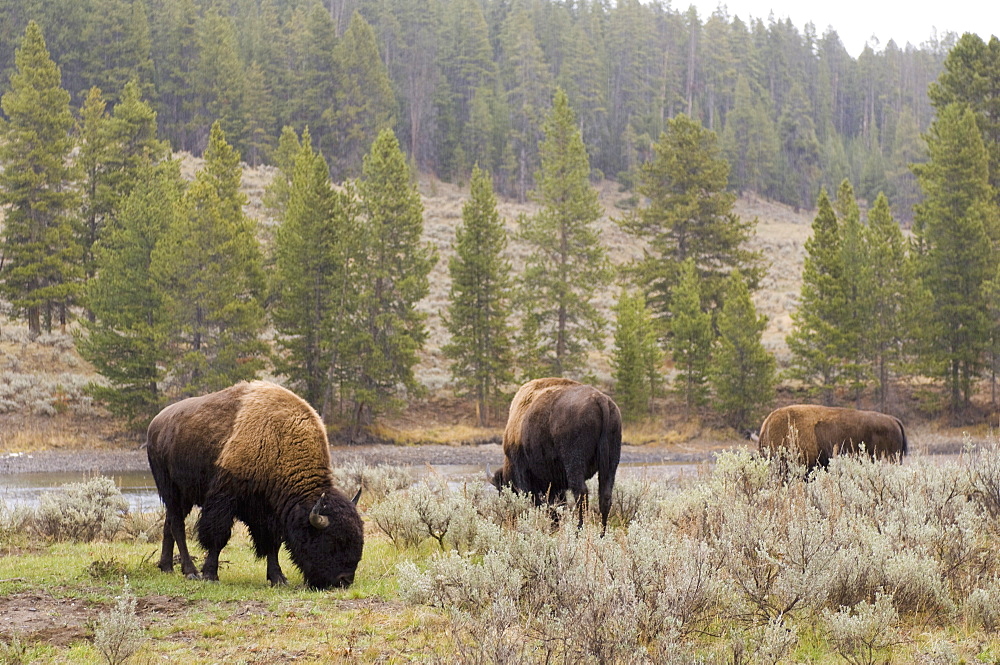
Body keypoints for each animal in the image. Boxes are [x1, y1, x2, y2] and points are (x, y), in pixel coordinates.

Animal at [145, 378, 364, 588]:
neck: (279, 439)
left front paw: (278, 578)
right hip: (171, 490)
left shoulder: (270, 511)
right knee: (178, 526)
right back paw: (191, 572)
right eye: (333, 541)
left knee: (169, 524)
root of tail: (156, 423)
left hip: (184, 497)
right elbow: (218, 537)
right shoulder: (224, 499)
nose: (344, 580)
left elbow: (273, 543)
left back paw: (167, 567)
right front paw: (210, 575)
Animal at [490, 376, 620, 532]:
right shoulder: (555, 482)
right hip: (611, 463)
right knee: (605, 496)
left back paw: (579, 530)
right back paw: (602, 533)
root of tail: (600, 399)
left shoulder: (523, 471)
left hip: (574, 463)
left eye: (502, 490)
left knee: (581, 492)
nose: (511, 518)